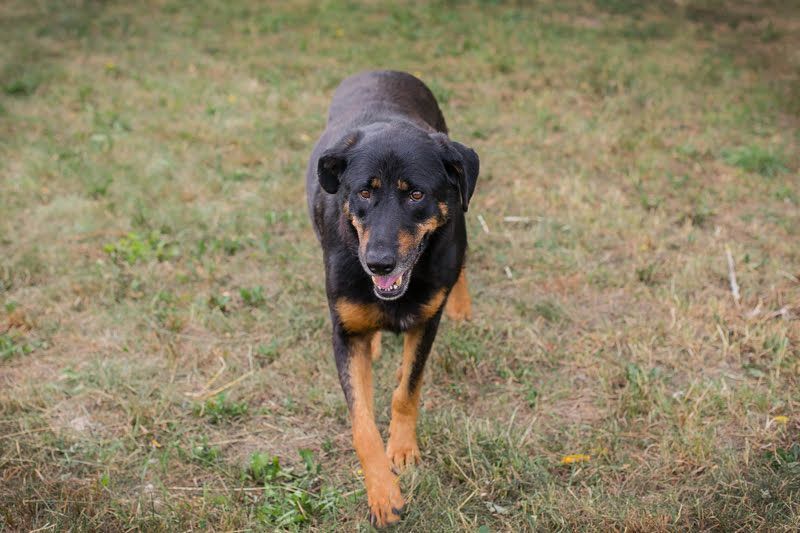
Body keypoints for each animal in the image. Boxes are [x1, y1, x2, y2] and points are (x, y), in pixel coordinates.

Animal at [305, 70, 479, 527]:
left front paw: (401, 449)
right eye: (364, 193)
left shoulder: (427, 320)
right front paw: (383, 493)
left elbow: (407, 390)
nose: (379, 264)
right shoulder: (344, 335)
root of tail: (381, 70)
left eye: (416, 195)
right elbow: (362, 424)